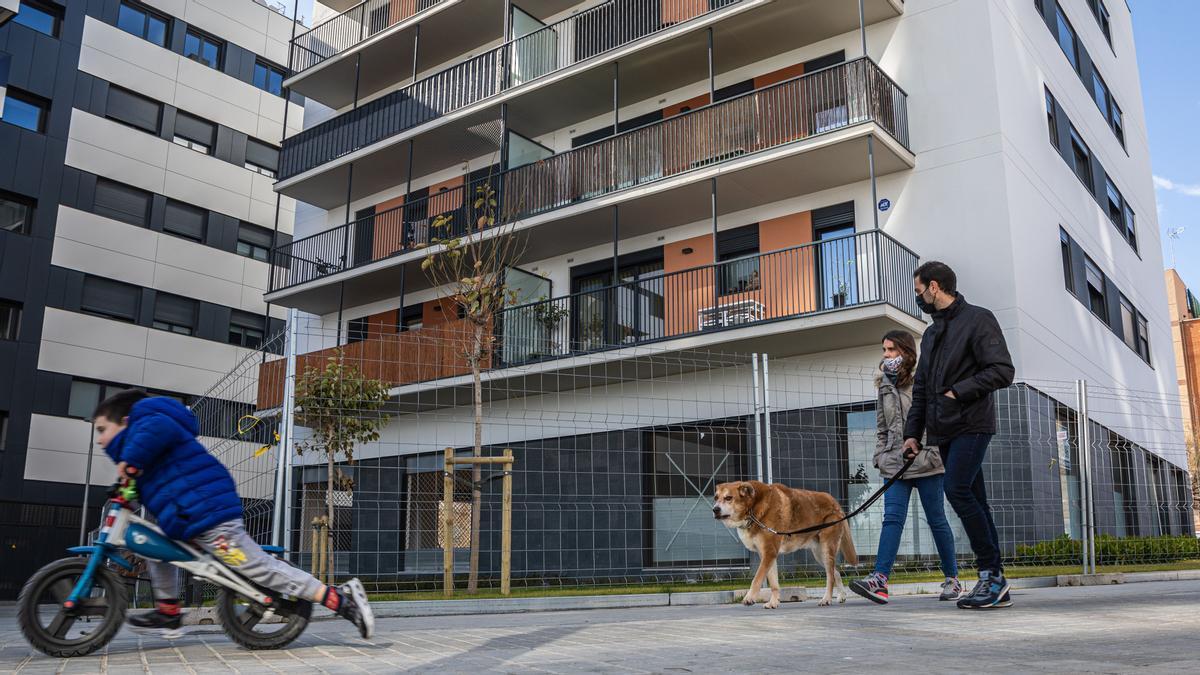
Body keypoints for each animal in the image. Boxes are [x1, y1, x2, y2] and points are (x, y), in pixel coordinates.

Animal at [705, 478, 859, 605]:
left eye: (728, 498)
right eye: (716, 498)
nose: (715, 509)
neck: (753, 509)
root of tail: (834, 501)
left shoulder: (769, 552)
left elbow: (756, 579)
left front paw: (749, 598)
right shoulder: (768, 555)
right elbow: (774, 583)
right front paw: (773, 603)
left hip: (827, 548)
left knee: (830, 576)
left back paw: (826, 599)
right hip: (819, 553)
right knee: (834, 572)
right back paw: (841, 596)